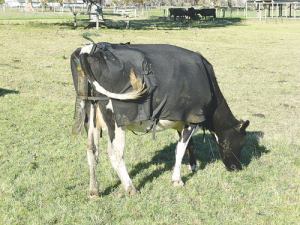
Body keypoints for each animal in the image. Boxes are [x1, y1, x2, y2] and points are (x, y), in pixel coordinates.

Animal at [71, 41, 250, 198]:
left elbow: (190, 146)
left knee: (92, 151)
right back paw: (131, 189)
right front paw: (177, 180)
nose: (237, 168)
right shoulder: (193, 119)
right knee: (115, 153)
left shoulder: (182, 119)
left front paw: (193, 166)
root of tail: (90, 49)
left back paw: (94, 191)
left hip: (91, 117)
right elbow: (180, 150)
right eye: (242, 142)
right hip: (117, 121)